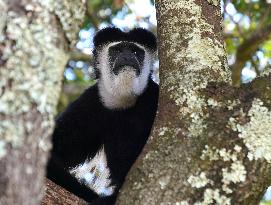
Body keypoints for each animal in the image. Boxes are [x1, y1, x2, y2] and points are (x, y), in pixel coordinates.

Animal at [45, 27, 158, 205]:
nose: (127, 56)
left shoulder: (153, 98)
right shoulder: (91, 102)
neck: (123, 102)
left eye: (135, 51)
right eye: (117, 50)